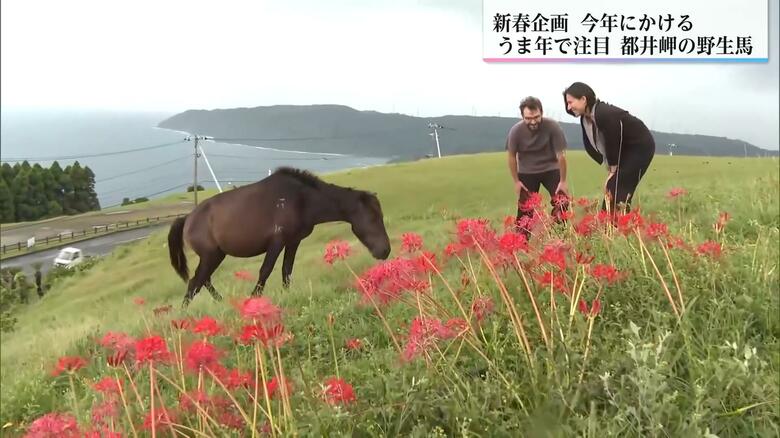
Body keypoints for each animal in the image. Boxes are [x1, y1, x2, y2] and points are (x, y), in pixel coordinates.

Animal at [167, 167, 391, 307]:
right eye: (373, 217)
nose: (385, 250)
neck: (302, 199)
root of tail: (187, 218)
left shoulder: (293, 242)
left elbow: (287, 271)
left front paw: (287, 295)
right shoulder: (276, 242)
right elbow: (265, 271)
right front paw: (254, 300)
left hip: (215, 256)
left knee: (202, 280)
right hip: (211, 255)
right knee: (195, 282)